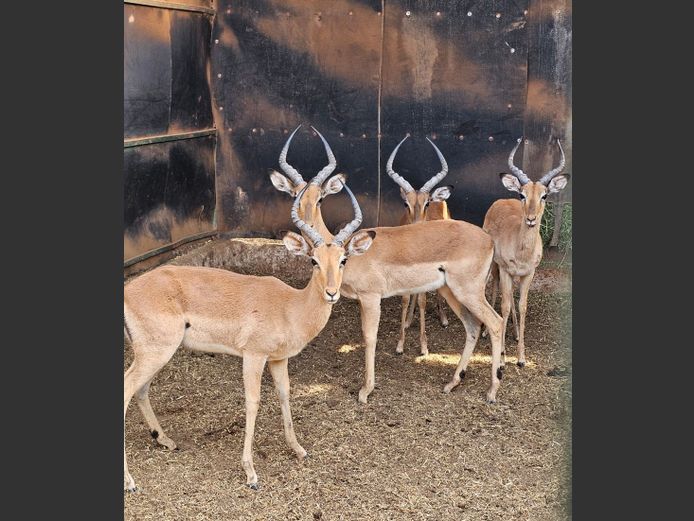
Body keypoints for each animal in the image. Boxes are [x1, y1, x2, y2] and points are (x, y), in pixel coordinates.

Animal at [123, 180, 374, 492]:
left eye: (343, 260)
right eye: (313, 260)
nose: (331, 292)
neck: (289, 306)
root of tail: (128, 291)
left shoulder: (278, 359)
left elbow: (284, 393)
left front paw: (298, 449)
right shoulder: (253, 356)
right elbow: (252, 402)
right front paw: (251, 472)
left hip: (156, 353)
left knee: (141, 389)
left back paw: (165, 440)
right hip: (155, 351)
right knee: (127, 388)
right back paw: (130, 481)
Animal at [385, 135, 453, 356]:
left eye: (426, 203)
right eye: (405, 203)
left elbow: (424, 300)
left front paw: (424, 346)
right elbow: (406, 299)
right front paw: (400, 344)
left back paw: (443, 318)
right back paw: (408, 320)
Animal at [483, 138, 569, 367]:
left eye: (544, 195)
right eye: (522, 194)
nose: (531, 219)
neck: (522, 251)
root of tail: (501, 201)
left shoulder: (529, 273)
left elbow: (522, 306)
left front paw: (521, 358)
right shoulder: (505, 270)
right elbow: (504, 306)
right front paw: (502, 357)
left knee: (512, 300)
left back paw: (513, 333)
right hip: (495, 266)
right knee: (494, 289)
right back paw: (487, 332)